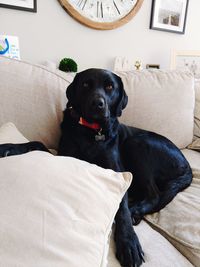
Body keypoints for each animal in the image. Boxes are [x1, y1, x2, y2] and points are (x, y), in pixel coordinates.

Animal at [0, 69, 192, 267]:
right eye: (86, 84)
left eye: (110, 86)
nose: (98, 104)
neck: (92, 132)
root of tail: (187, 166)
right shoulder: (65, 156)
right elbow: (38, 143)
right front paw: (8, 148)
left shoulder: (118, 171)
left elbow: (121, 209)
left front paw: (128, 242)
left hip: (137, 143)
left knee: (154, 195)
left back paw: (134, 211)